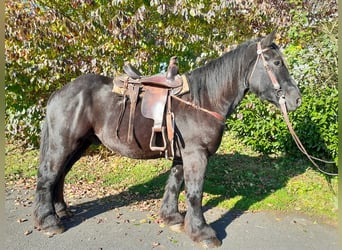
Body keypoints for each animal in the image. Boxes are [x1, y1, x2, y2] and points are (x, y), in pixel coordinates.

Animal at [33, 31, 300, 248]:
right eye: (277, 62)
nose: (296, 99)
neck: (202, 100)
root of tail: (60, 92)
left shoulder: (183, 156)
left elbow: (174, 184)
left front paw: (172, 218)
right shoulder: (196, 155)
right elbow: (194, 193)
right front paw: (202, 232)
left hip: (79, 145)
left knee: (59, 175)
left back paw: (61, 211)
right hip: (63, 143)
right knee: (48, 176)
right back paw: (49, 221)